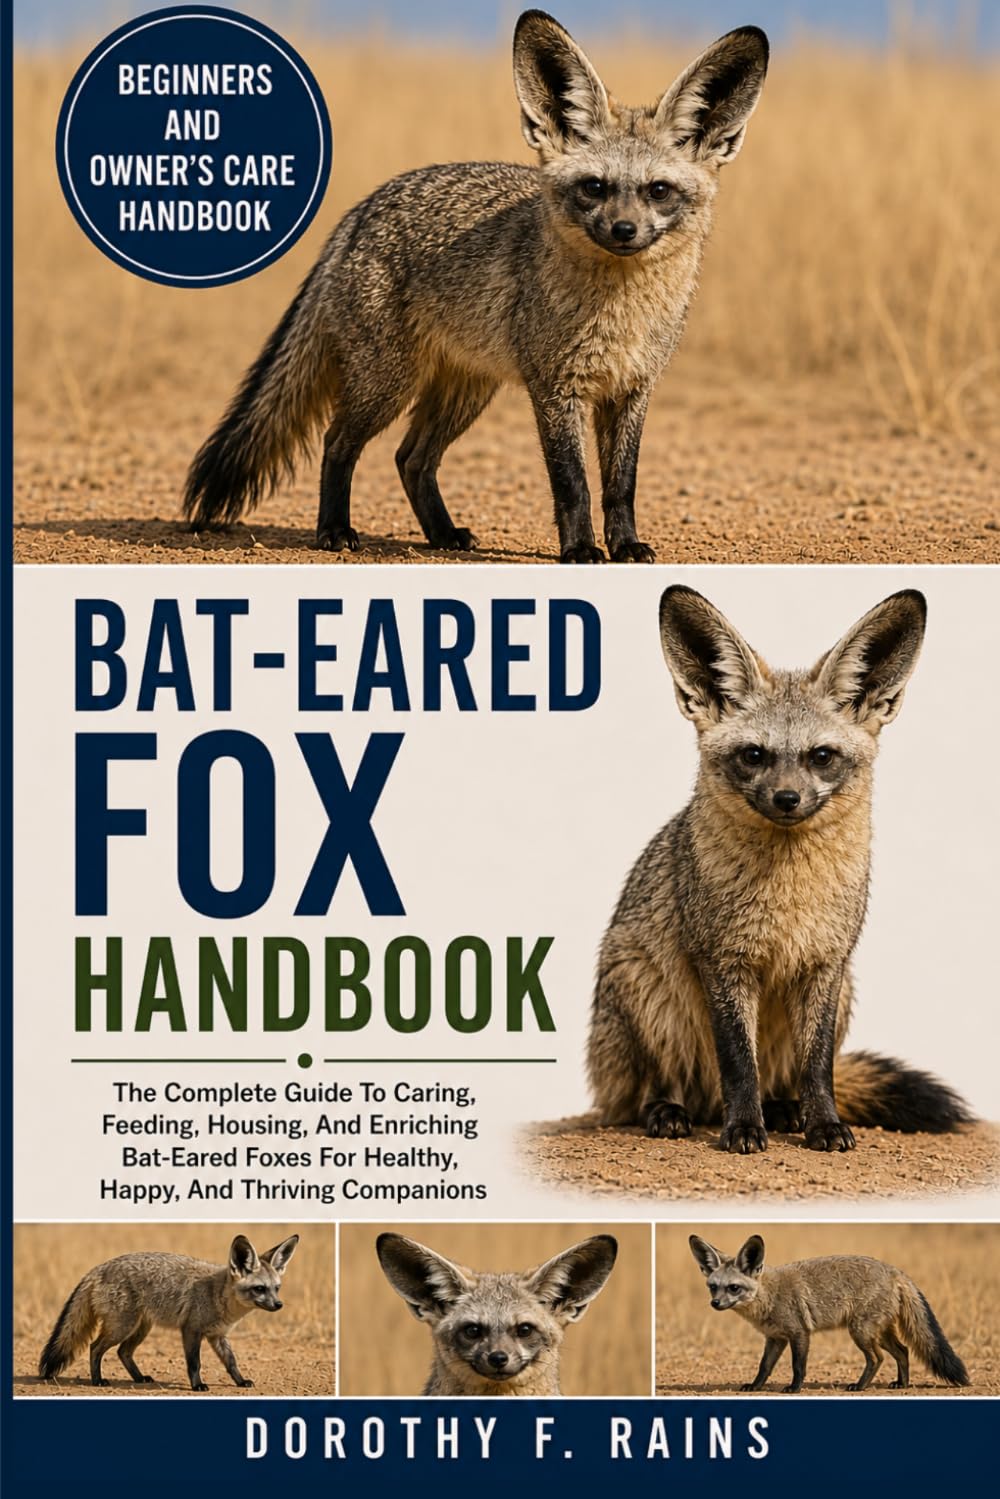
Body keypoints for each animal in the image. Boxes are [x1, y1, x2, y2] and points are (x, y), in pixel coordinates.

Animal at [38, 1232, 298, 1391]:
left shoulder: (218, 1336)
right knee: (95, 1347)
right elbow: (195, 1363)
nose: (278, 1305)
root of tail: (98, 1268)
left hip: (140, 1328)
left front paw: (240, 1381)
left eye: (276, 1288)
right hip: (122, 1327)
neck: (217, 1295)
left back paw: (139, 1378)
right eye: (260, 1289)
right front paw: (197, 1385)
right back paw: (97, 1380)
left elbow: (231, 1362)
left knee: (123, 1352)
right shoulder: (191, 1330)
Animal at [183, 11, 769, 563]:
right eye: (594, 187)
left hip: (464, 391)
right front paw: (581, 550)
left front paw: (625, 546)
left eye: (659, 191)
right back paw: (334, 531)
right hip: (389, 384)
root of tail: (362, 208)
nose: (624, 230)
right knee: (337, 442)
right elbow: (572, 484)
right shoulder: (555, 389)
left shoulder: (633, 389)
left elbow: (621, 485)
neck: (620, 314)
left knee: (411, 458)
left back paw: (443, 534)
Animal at [588, 585, 972, 1154]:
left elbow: (817, 1067)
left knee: (781, 1078)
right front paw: (744, 1129)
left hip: (844, 995)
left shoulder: (826, 964)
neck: (789, 894)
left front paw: (824, 1125)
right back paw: (670, 1112)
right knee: (651, 1090)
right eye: (754, 755)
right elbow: (737, 1063)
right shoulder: (724, 963)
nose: (787, 799)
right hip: (647, 995)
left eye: (821, 756)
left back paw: (784, 1110)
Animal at [688, 1233, 970, 1393]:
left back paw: (860, 1386)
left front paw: (794, 1388)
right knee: (903, 1350)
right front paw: (755, 1387)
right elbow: (764, 1366)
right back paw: (902, 1384)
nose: (715, 1303)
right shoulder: (775, 1338)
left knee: (877, 1358)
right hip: (878, 1332)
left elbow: (798, 1366)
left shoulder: (799, 1333)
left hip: (861, 1332)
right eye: (713, 1287)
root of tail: (894, 1270)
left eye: (733, 1288)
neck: (767, 1295)